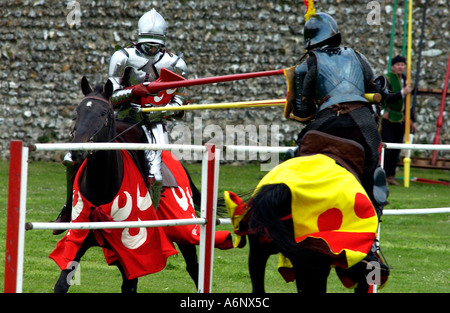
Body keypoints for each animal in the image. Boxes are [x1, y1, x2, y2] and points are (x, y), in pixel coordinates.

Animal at [51, 77, 203, 292]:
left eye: (103, 113)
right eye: (77, 112)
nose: (77, 151)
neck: (103, 186)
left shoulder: (134, 248)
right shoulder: (80, 241)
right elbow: (62, 283)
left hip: (183, 229)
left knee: (194, 268)